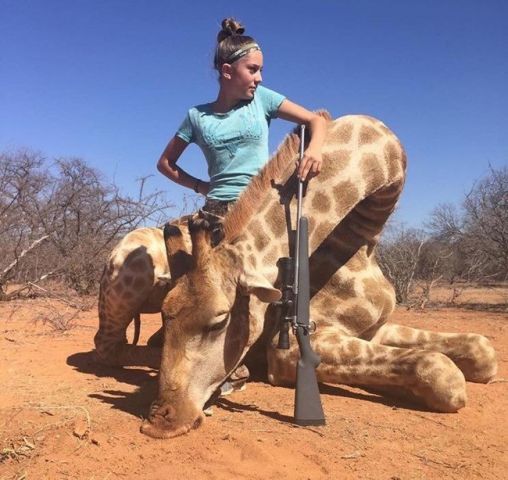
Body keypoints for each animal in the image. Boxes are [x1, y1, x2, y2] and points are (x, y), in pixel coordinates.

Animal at [137, 115, 498, 438]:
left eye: (219, 321)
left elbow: (482, 351)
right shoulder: (287, 351)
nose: (159, 420)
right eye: (165, 314)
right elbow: (441, 371)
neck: (362, 244)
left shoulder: (376, 328)